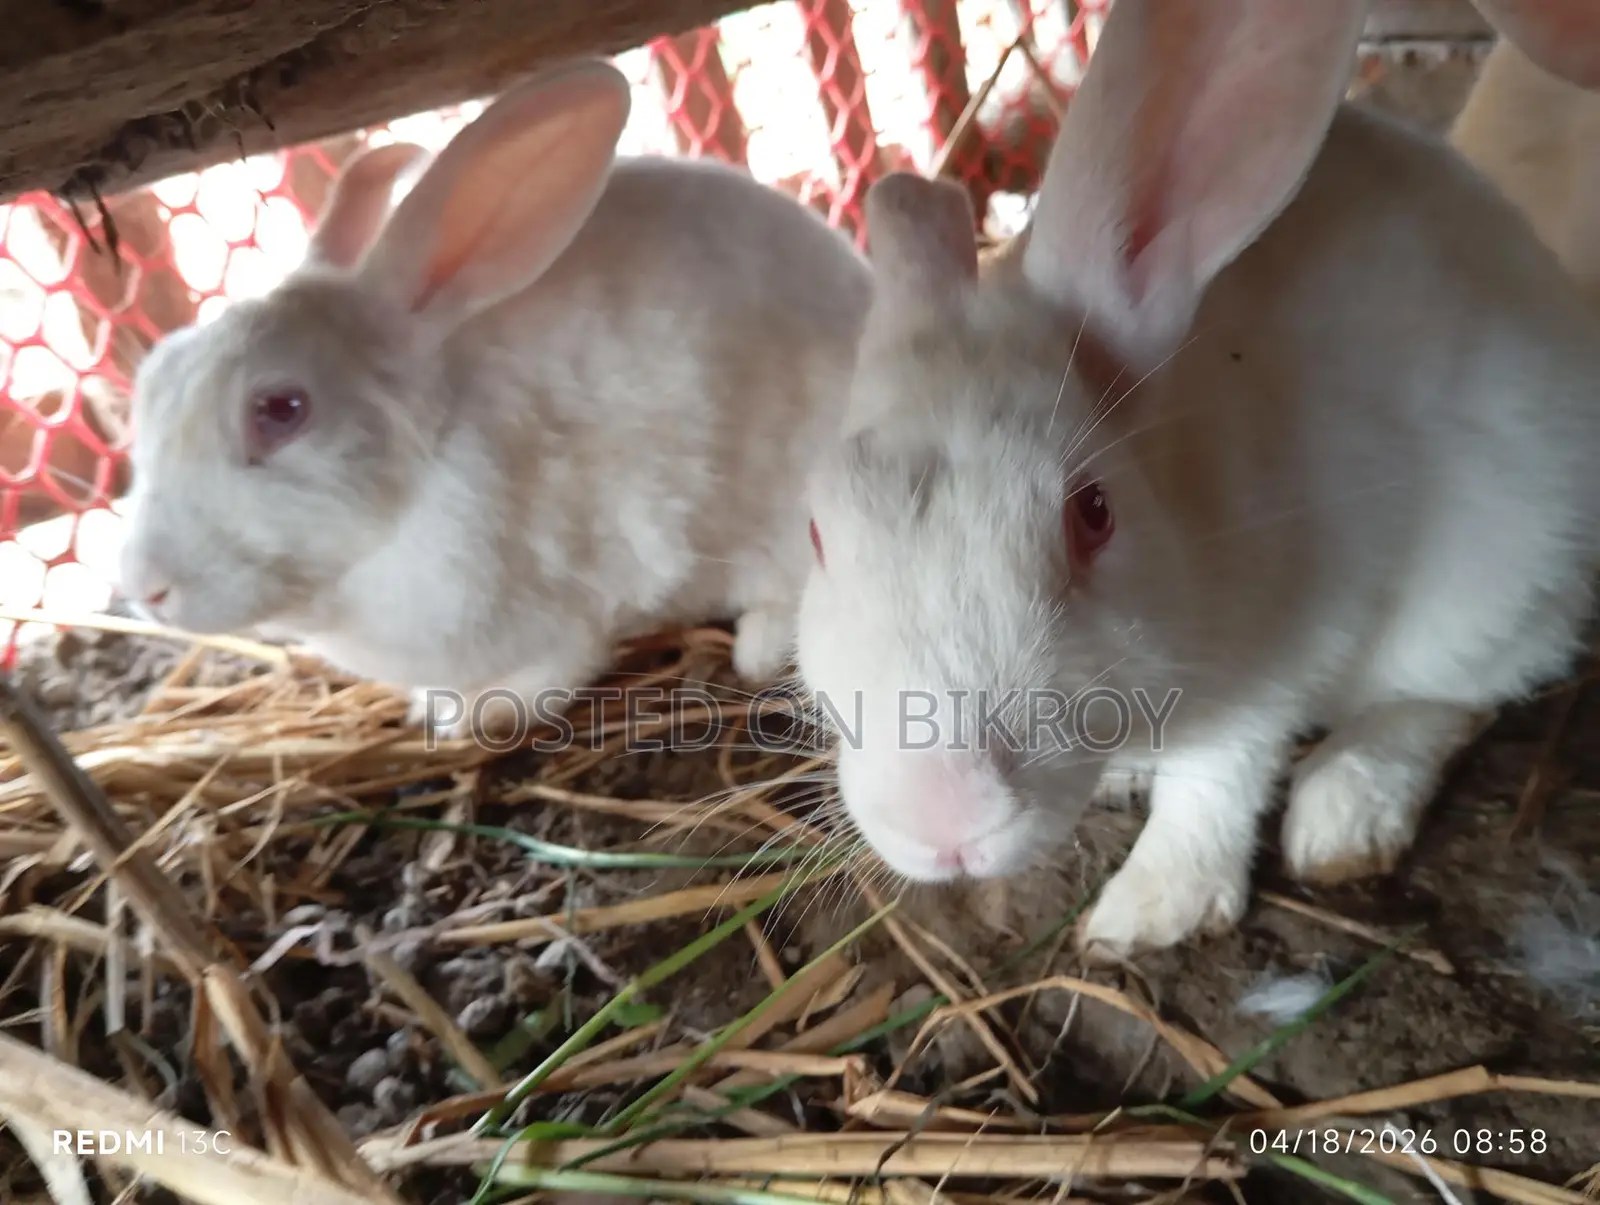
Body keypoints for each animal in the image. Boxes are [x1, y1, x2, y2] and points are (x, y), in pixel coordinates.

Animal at [114, 56, 873, 741]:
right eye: (149, 382)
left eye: (281, 410)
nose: (144, 589)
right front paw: (430, 706)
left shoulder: (555, 615)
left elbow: (550, 675)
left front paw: (466, 719)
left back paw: (756, 650)